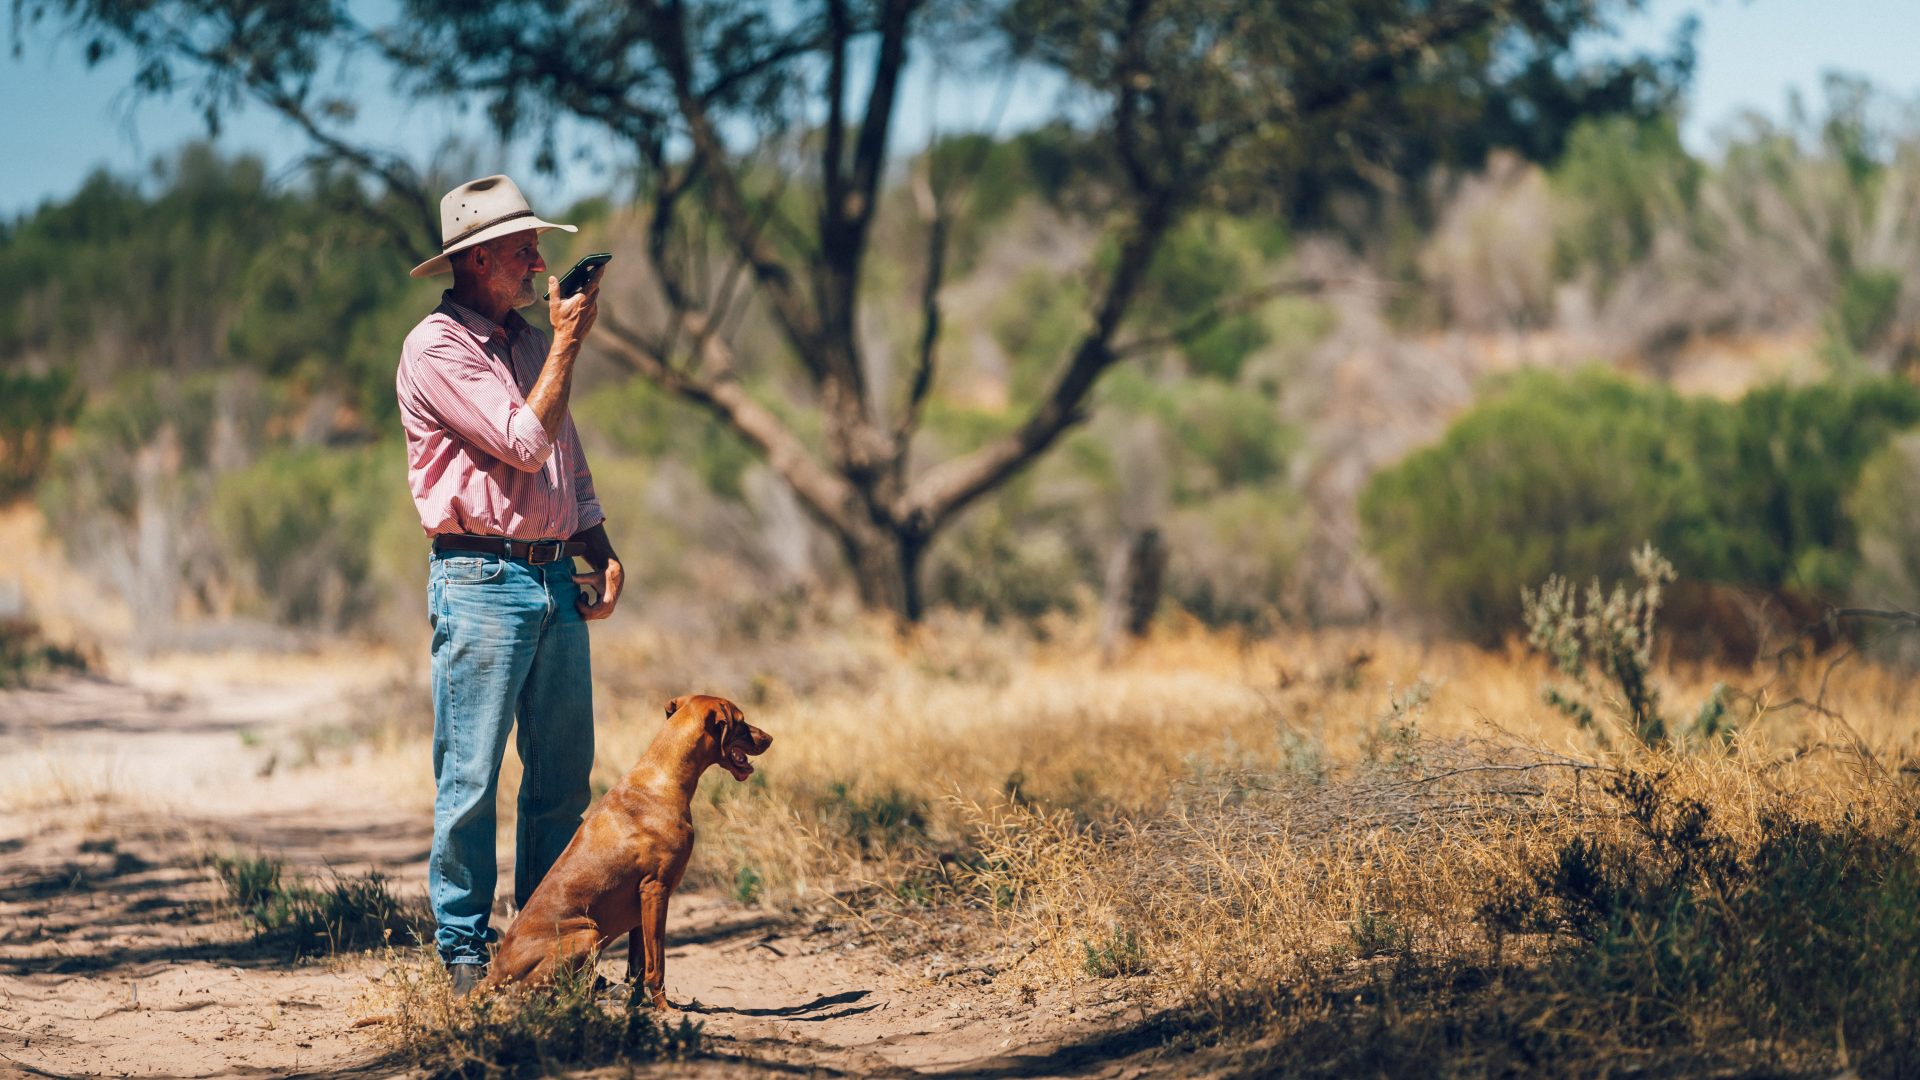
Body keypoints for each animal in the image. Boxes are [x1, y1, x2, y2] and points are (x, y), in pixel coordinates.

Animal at [483, 687, 768, 999]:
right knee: (524, 993)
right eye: (741, 720)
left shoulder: (639, 907)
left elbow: (638, 968)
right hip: (589, 933)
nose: (769, 738)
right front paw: (664, 1007)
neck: (663, 779)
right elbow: (657, 966)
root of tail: (495, 972)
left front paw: (639, 1004)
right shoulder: (655, 890)